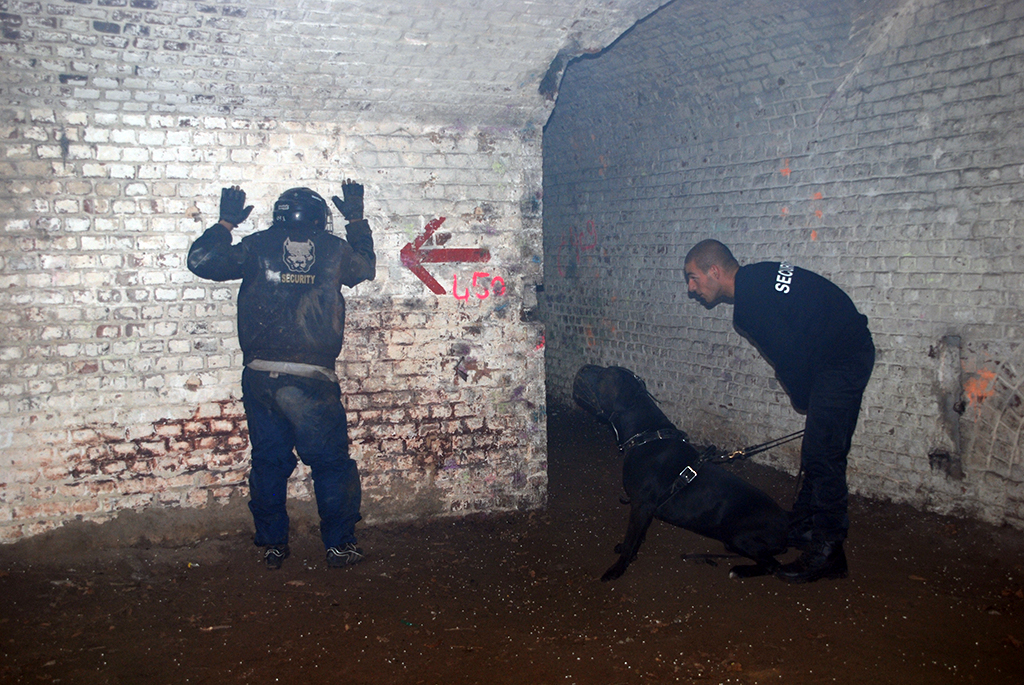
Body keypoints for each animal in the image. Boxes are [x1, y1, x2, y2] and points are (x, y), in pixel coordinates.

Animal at [573, 362, 786, 577]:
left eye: (603, 374)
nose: (583, 367)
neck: (646, 437)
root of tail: (788, 522)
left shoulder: (641, 505)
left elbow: (630, 539)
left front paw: (617, 568)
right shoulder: (644, 508)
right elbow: (638, 536)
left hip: (739, 537)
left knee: (774, 566)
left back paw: (740, 571)